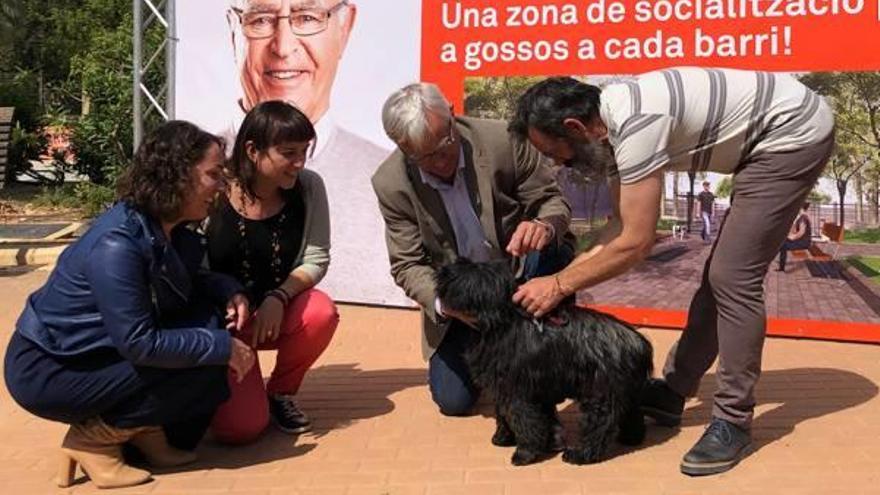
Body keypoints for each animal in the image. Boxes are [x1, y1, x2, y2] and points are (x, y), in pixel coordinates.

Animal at [434, 260, 652, 464]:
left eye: (463, 268)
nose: (442, 269)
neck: (500, 322)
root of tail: (639, 342)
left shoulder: (517, 390)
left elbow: (523, 419)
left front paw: (525, 453)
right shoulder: (503, 387)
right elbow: (503, 414)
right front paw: (502, 438)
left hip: (600, 392)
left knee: (601, 424)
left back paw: (581, 454)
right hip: (625, 391)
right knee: (632, 415)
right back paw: (631, 439)